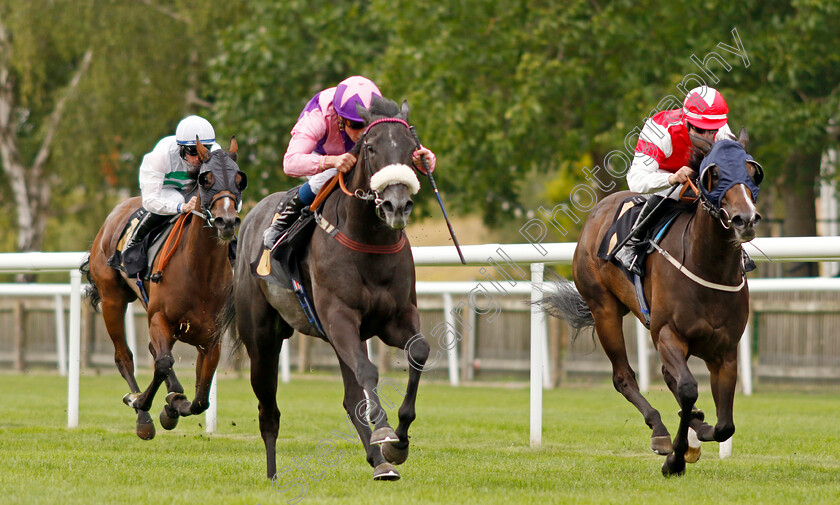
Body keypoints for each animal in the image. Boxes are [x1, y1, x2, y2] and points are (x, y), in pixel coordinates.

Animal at [79, 138, 246, 438]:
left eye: (240, 179)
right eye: (206, 180)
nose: (227, 222)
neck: (200, 271)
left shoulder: (210, 338)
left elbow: (201, 400)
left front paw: (174, 405)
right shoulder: (159, 317)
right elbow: (163, 363)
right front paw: (142, 402)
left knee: (154, 351)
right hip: (112, 298)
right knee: (124, 356)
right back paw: (142, 415)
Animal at [220, 97, 430, 480]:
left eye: (412, 149)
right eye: (371, 148)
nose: (396, 205)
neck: (368, 241)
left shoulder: (395, 318)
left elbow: (418, 352)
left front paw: (398, 444)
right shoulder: (339, 317)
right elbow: (369, 371)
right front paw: (383, 430)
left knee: (350, 397)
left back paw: (379, 463)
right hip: (261, 337)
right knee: (267, 408)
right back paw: (272, 474)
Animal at [540, 128, 764, 474]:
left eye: (753, 172)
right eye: (713, 174)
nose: (746, 219)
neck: (707, 265)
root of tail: (598, 210)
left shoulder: (725, 350)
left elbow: (725, 424)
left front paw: (700, 430)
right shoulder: (669, 333)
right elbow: (687, 388)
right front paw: (676, 456)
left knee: (668, 376)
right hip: (604, 309)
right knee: (624, 377)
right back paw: (659, 430)